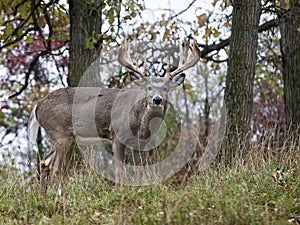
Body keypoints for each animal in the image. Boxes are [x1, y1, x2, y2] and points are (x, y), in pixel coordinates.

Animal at [29, 38, 200, 195]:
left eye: (166, 88)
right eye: (148, 87)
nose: (157, 99)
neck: (139, 124)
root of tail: (38, 105)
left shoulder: (140, 143)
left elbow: (140, 168)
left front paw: (139, 190)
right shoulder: (117, 135)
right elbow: (119, 169)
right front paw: (119, 192)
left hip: (57, 136)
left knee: (44, 163)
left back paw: (42, 196)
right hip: (61, 133)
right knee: (55, 166)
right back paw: (62, 196)